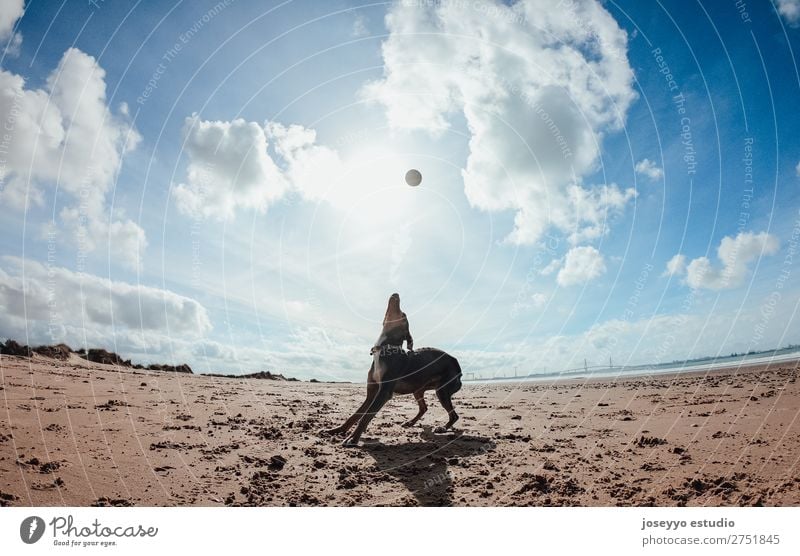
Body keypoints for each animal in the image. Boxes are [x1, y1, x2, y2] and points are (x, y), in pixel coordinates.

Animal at [324, 296, 462, 448]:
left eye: (404, 315)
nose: (396, 294)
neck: (383, 349)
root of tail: (457, 364)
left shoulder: (383, 392)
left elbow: (366, 416)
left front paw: (352, 439)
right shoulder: (372, 393)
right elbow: (355, 415)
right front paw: (336, 430)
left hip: (442, 390)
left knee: (454, 415)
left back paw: (443, 428)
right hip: (418, 389)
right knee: (424, 408)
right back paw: (411, 422)